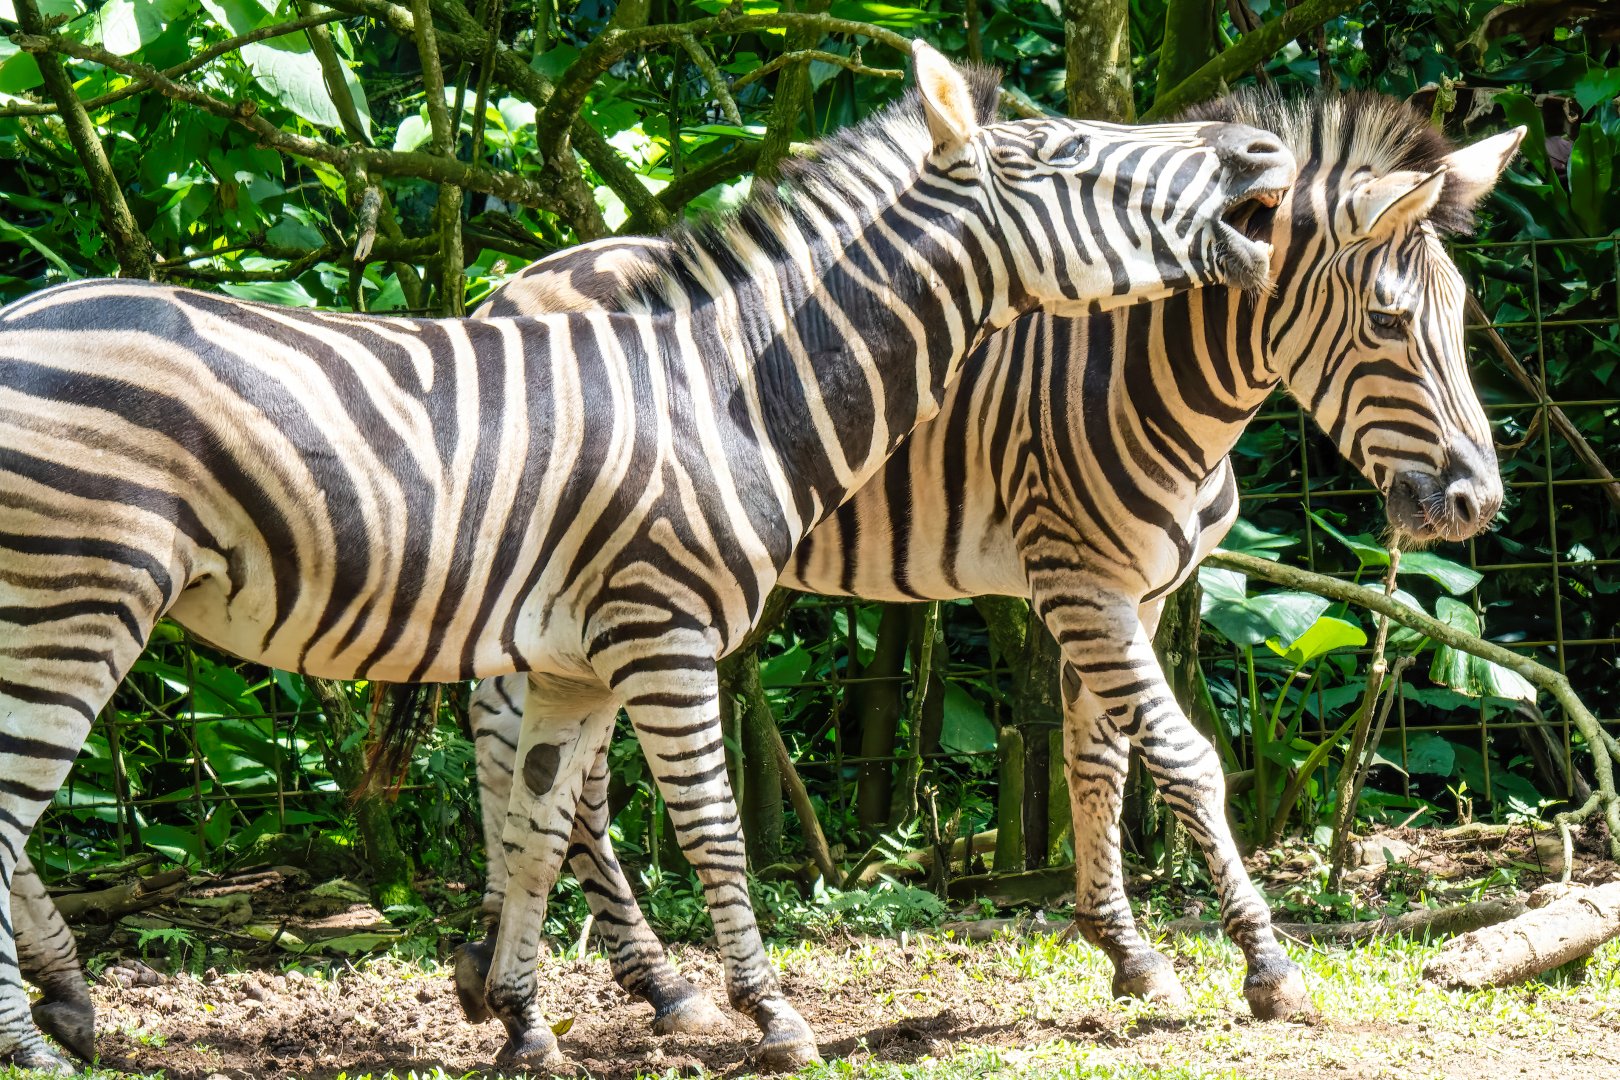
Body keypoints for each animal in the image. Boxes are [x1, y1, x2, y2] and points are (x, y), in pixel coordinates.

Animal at [0, 43, 1293, 1071]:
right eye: (1068, 152)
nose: (1259, 148)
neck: (737, 391)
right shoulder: (665, 635)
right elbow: (713, 827)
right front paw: (772, 1016)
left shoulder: (576, 661)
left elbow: (532, 834)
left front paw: (525, 1025)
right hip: (79, 601)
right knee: (7, 814)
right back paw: (37, 1037)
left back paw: (68, 1005)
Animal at [457, 88, 1521, 1031]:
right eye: (1388, 320)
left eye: (1464, 310)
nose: (1478, 503)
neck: (1149, 376)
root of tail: (510, 282)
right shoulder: (1080, 582)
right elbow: (1183, 761)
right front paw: (1267, 967)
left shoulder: (1128, 591)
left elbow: (1100, 759)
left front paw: (1128, 953)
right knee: (559, 778)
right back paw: (647, 985)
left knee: (546, 770)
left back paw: (550, 970)